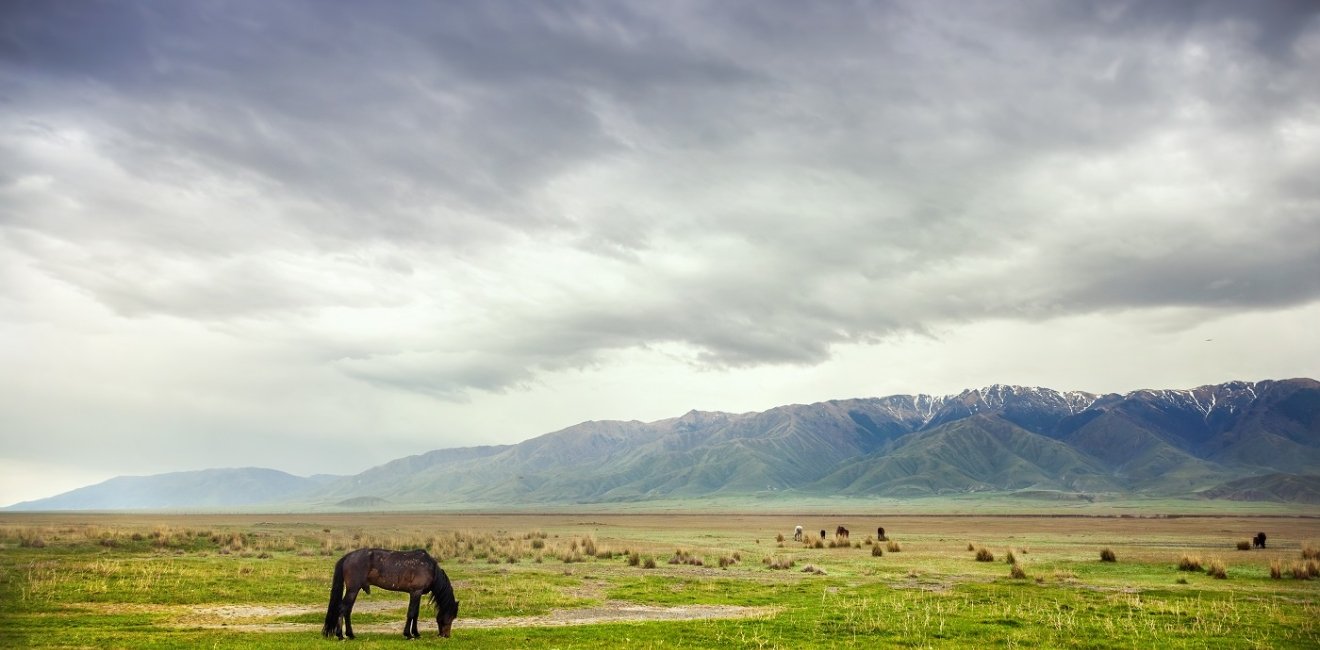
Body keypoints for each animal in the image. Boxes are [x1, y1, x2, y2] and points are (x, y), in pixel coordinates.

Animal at [322, 549, 462, 639]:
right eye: (451, 617)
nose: (446, 635)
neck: (430, 568)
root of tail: (348, 557)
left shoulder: (417, 594)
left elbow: (415, 614)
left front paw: (415, 633)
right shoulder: (415, 592)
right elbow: (411, 613)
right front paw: (408, 634)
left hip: (353, 590)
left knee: (347, 611)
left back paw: (350, 634)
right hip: (353, 590)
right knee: (343, 609)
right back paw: (340, 635)